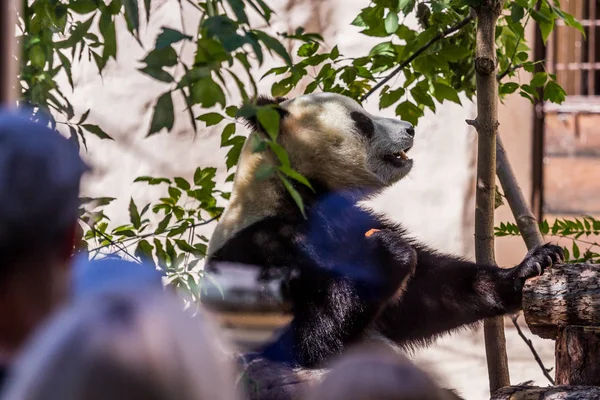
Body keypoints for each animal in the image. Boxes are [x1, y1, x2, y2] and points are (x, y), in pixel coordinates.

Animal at [205, 92, 564, 370]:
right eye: (362, 121)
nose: (410, 128)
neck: (292, 190)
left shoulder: (350, 219)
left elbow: (430, 294)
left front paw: (529, 266)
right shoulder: (260, 247)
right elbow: (300, 341)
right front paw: (385, 254)